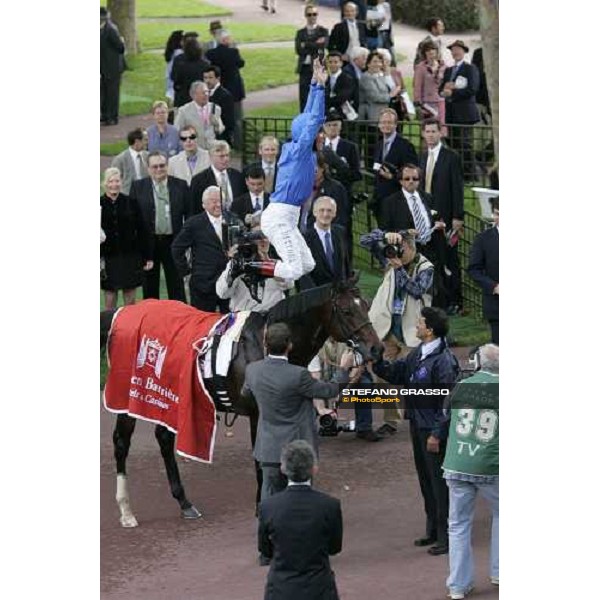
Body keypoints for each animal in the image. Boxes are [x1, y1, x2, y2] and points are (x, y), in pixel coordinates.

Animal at [101, 274, 382, 528]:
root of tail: (126, 311)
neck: (267, 347)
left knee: (164, 439)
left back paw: (184, 502)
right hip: (129, 396)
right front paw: (262, 504)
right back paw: (126, 511)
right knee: (122, 442)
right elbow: (261, 460)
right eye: (346, 310)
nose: (376, 349)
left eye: (366, 304)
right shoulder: (259, 413)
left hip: (167, 398)